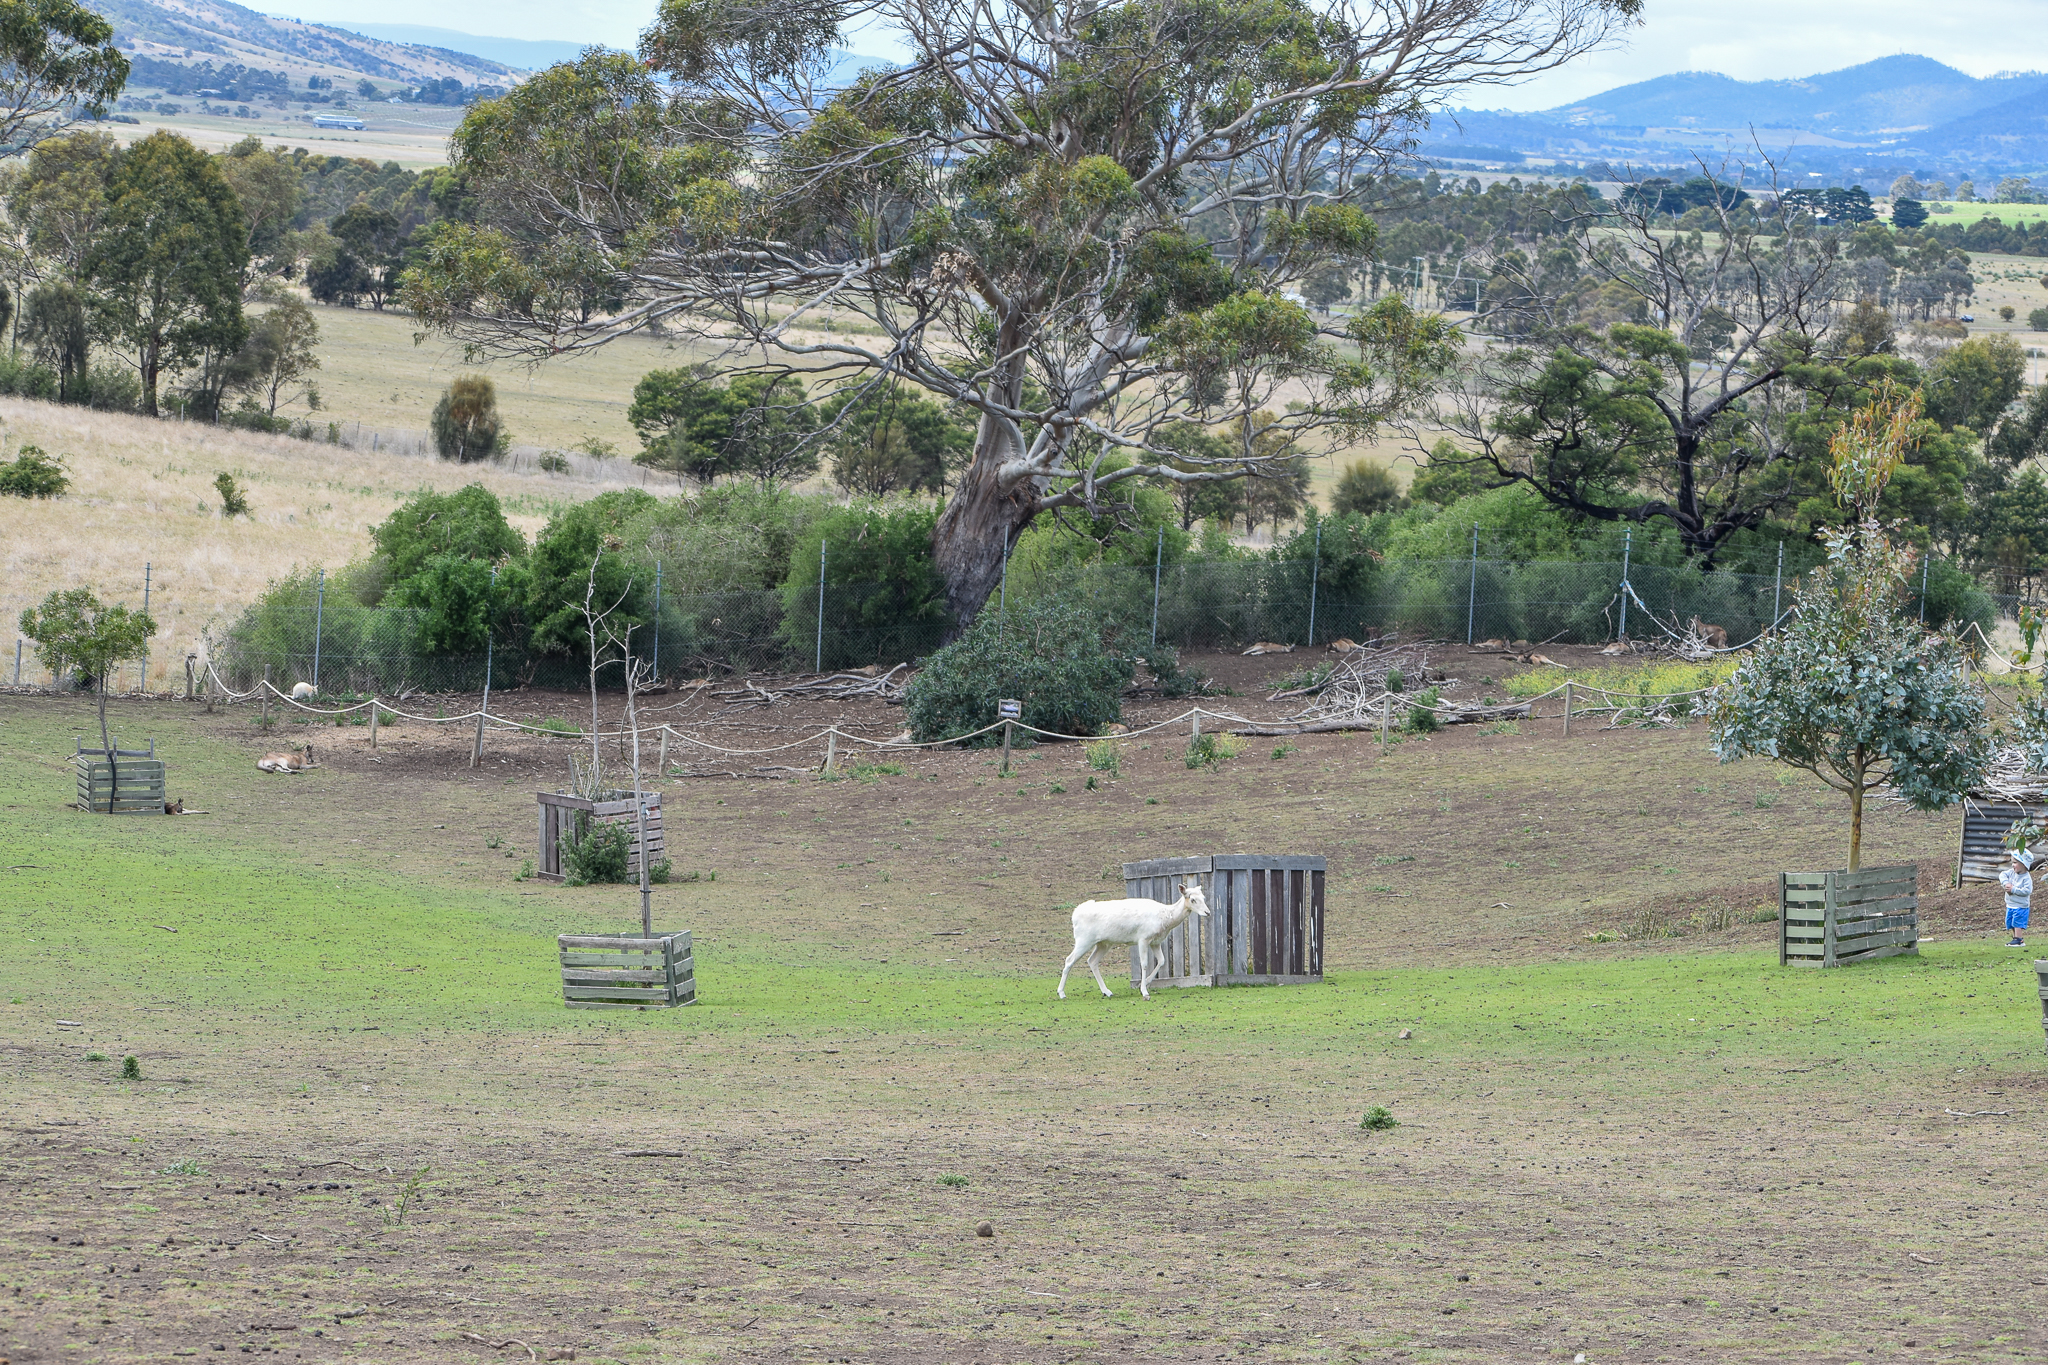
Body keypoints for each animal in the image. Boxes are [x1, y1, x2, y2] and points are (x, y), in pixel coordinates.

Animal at [1058, 877, 1211, 1000]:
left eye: (1204, 897)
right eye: (1193, 899)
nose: (1208, 912)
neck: (1165, 919)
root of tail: (1074, 914)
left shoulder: (1156, 941)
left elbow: (1162, 960)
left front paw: (1145, 983)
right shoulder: (1143, 938)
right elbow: (1144, 964)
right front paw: (1144, 991)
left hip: (1103, 943)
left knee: (1092, 961)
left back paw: (1107, 992)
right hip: (1084, 939)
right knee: (1069, 960)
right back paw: (1061, 993)